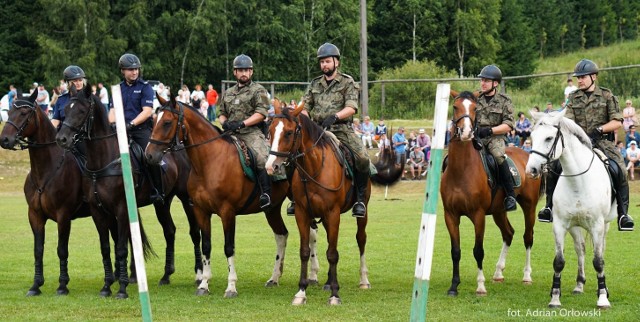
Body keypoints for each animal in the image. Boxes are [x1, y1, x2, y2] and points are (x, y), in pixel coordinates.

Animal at [57, 84, 202, 298]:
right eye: (66, 109)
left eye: (81, 111)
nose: (62, 139)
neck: (103, 161)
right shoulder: (98, 212)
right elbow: (106, 248)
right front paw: (107, 286)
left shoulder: (121, 209)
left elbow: (121, 248)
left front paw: (122, 288)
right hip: (162, 202)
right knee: (170, 231)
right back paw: (166, 275)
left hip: (186, 200)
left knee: (194, 233)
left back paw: (200, 273)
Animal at [145, 94, 290, 298]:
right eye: (153, 121)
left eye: (166, 122)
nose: (149, 155)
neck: (209, 162)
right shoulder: (201, 211)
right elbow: (206, 246)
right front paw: (204, 284)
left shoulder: (227, 212)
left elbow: (228, 247)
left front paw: (231, 286)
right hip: (272, 210)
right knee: (282, 235)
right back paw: (275, 277)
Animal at [264, 100, 402, 304]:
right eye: (271, 131)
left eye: (288, 132)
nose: (270, 166)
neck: (314, 168)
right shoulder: (302, 214)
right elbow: (305, 251)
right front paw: (301, 292)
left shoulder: (333, 213)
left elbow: (333, 253)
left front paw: (335, 295)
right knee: (330, 240)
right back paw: (328, 282)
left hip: (361, 212)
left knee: (361, 239)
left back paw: (363, 280)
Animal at [442, 90, 544, 296]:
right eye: (455, 107)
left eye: (475, 108)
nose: (466, 132)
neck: (461, 170)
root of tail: (527, 155)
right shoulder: (450, 215)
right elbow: (455, 251)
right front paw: (454, 286)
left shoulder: (478, 215)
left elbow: (478, 250)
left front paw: (480, 286)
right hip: (499, 211)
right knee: (509, 233)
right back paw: (498, 272)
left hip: (529, 206)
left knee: (527, 237)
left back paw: (526, 276)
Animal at [524, 110, 616, 310]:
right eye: (532, 137)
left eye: (549, 138)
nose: (531, 170)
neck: (578, 182)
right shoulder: (559, 225)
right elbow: (559, 262)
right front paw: (555, 298)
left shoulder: (597, 225)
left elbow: (598, 261)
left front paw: (603, 298)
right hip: (574, 226)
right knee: (580, 248)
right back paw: (579, 285)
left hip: (604, 225)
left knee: (600, 250)